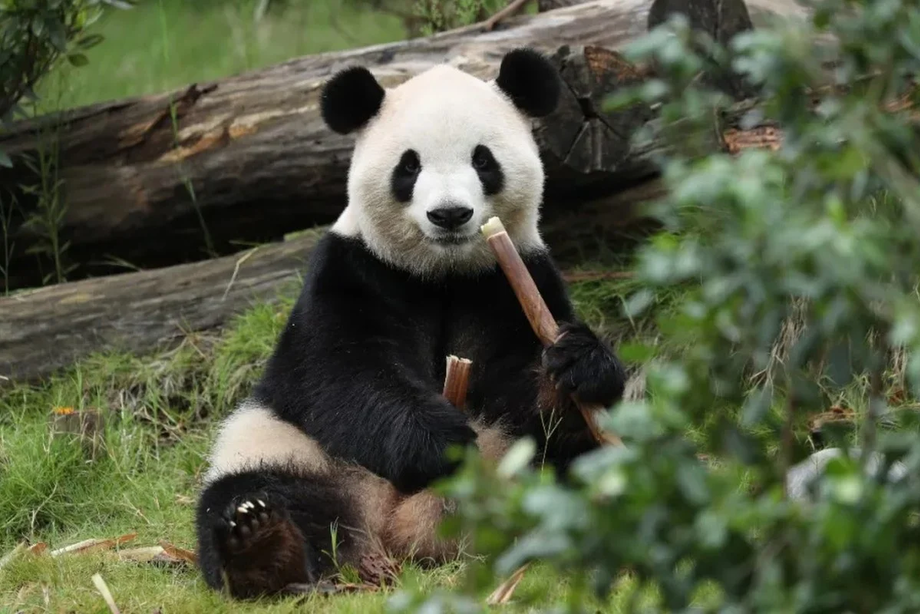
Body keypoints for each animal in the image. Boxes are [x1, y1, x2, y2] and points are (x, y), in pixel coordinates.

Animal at [194, 48, 627, 600]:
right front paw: (437, 442)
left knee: (575, 464)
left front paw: (576, 365)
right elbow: (341, 373)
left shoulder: (511, 279)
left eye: (482, 159)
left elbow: (523, 385)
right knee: (254, 491)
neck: (441, 274)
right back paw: (264, 547)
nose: (450, 214)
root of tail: (396, 532)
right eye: (409, 165)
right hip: (288, 446)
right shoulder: (352, 271)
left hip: (515, 463)